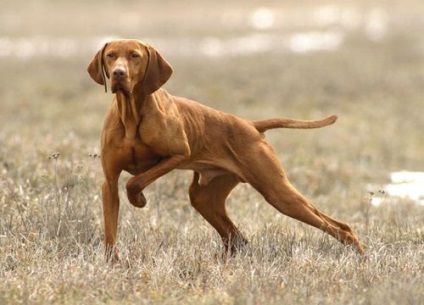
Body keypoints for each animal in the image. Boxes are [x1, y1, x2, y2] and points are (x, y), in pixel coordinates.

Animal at [87, 38, 364, 262]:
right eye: (110, 55)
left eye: (135, 55)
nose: (118, 73)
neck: (132, 115)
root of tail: (251, 125)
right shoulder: (109, 183)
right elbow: (111, 228)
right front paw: (112, 264)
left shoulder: (179, 154)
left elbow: (134, 181)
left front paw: (139, 200)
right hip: (204, 197)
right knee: (237, 239)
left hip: (278, 192)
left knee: (341, 227)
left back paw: (362, 258)